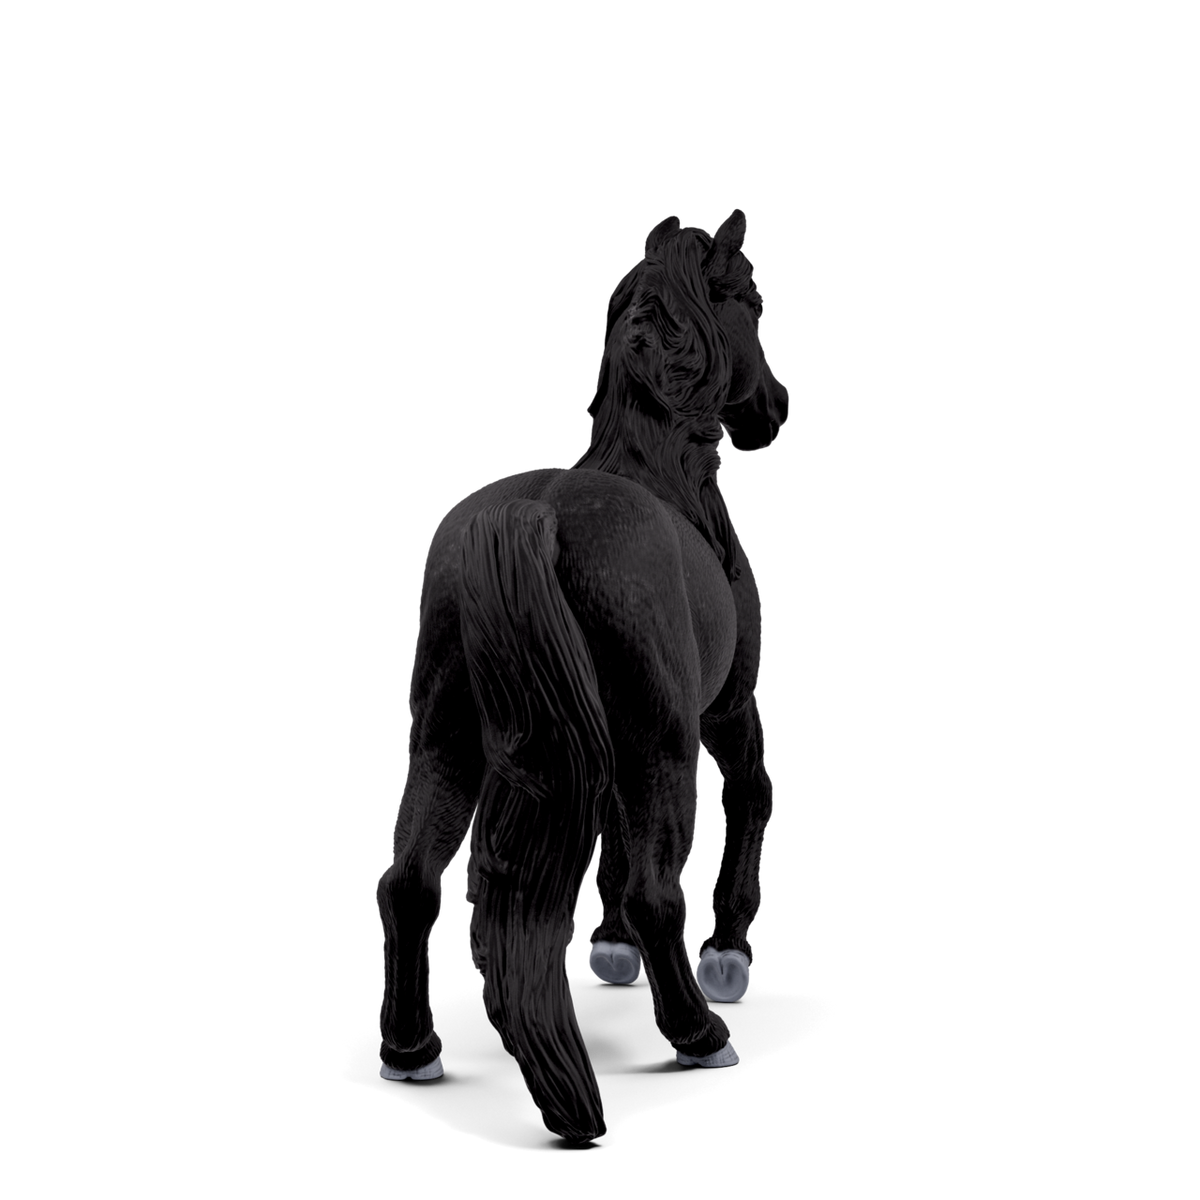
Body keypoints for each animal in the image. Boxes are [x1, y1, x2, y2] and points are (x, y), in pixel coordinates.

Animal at [374, 207, 791, 1140]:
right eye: (751, 303)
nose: (778, 407)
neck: (665, 471)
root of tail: (533, 514)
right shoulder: (729, 709)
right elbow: (755, 795)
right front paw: (730, 954)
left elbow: (606, 836)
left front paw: (605, 947)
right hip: (666, 745)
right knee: (657, 890)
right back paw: (701, 1035)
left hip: (447, 741)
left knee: (408, 882)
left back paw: (411, 1052)